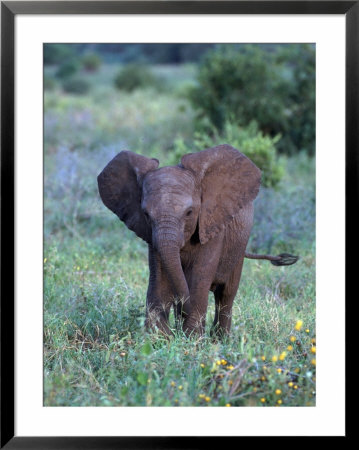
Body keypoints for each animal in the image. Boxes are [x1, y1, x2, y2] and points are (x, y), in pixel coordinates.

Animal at [98, 146, 298, 336]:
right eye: (146, 214)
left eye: (189, 212)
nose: (184, 311)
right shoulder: (152, 237)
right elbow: (160, 281)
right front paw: (159, 339)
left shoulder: (212, 226)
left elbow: (198, 278)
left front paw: (192, 341)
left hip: (239, 248)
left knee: (226, 295)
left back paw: (219, 341)